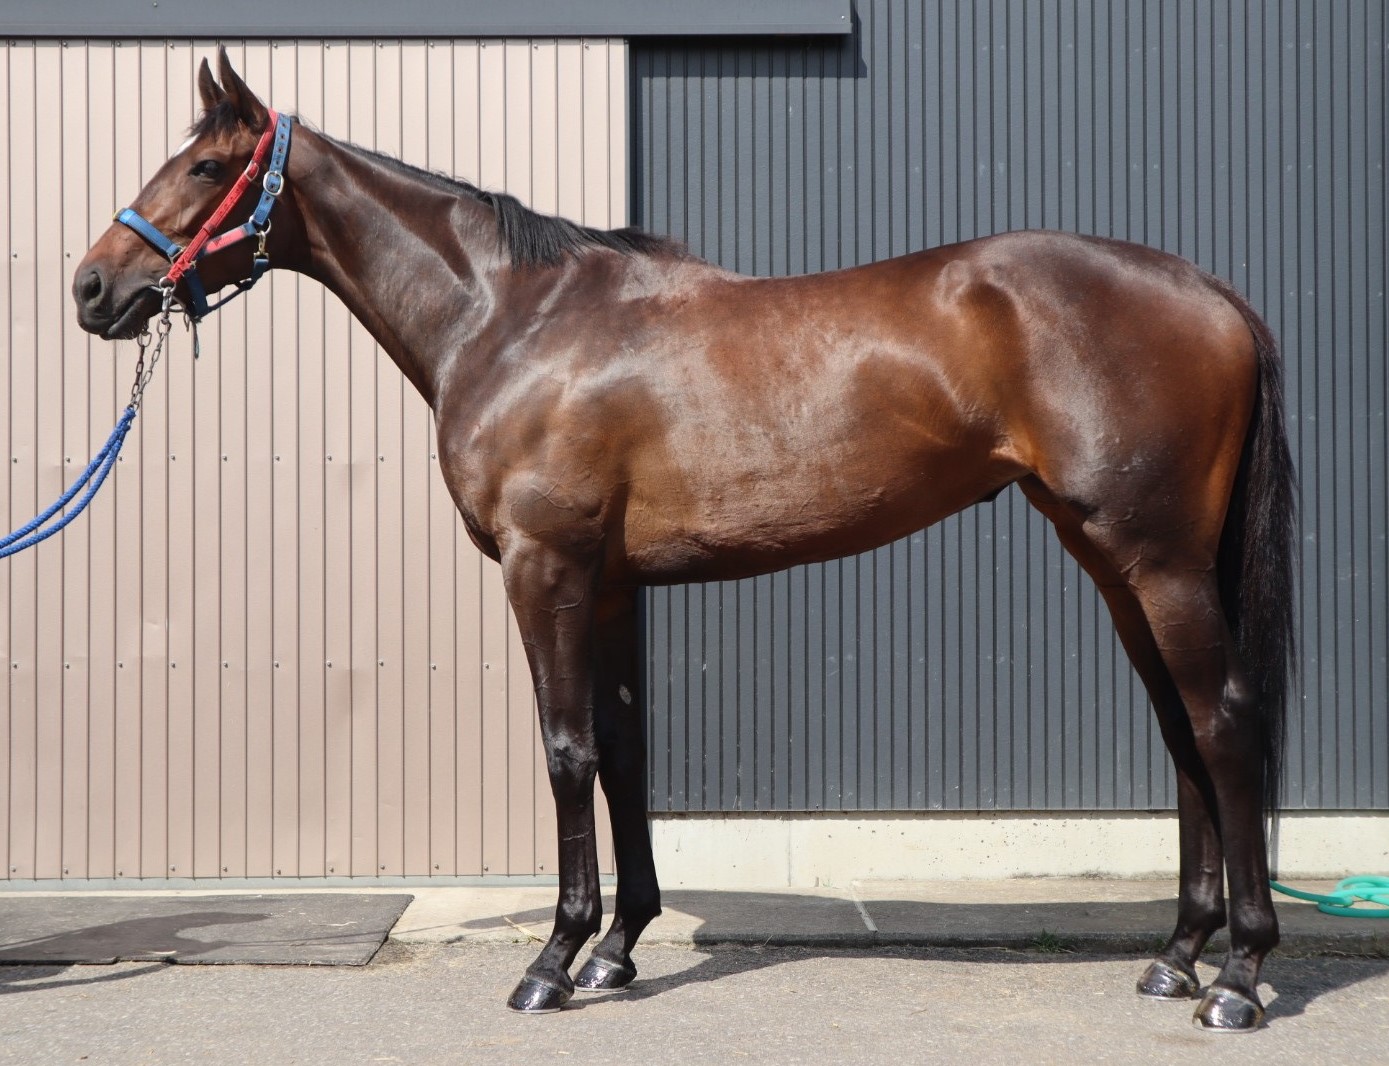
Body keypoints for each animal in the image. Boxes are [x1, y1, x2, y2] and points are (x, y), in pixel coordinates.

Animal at [74, 49, 1294, 1032]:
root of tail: (1210, 289)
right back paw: (1176, 957)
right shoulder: (611, 586)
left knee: (1224, 723)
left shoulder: (547, 571)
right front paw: (617, 949)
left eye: (202, 168)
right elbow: (623, 755)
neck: (512, 319)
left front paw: (553, 961)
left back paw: (1238, 976)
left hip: (1159, 562)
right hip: (1115, 562)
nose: (92, 288)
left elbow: (567, 752)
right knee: (1181, 732)